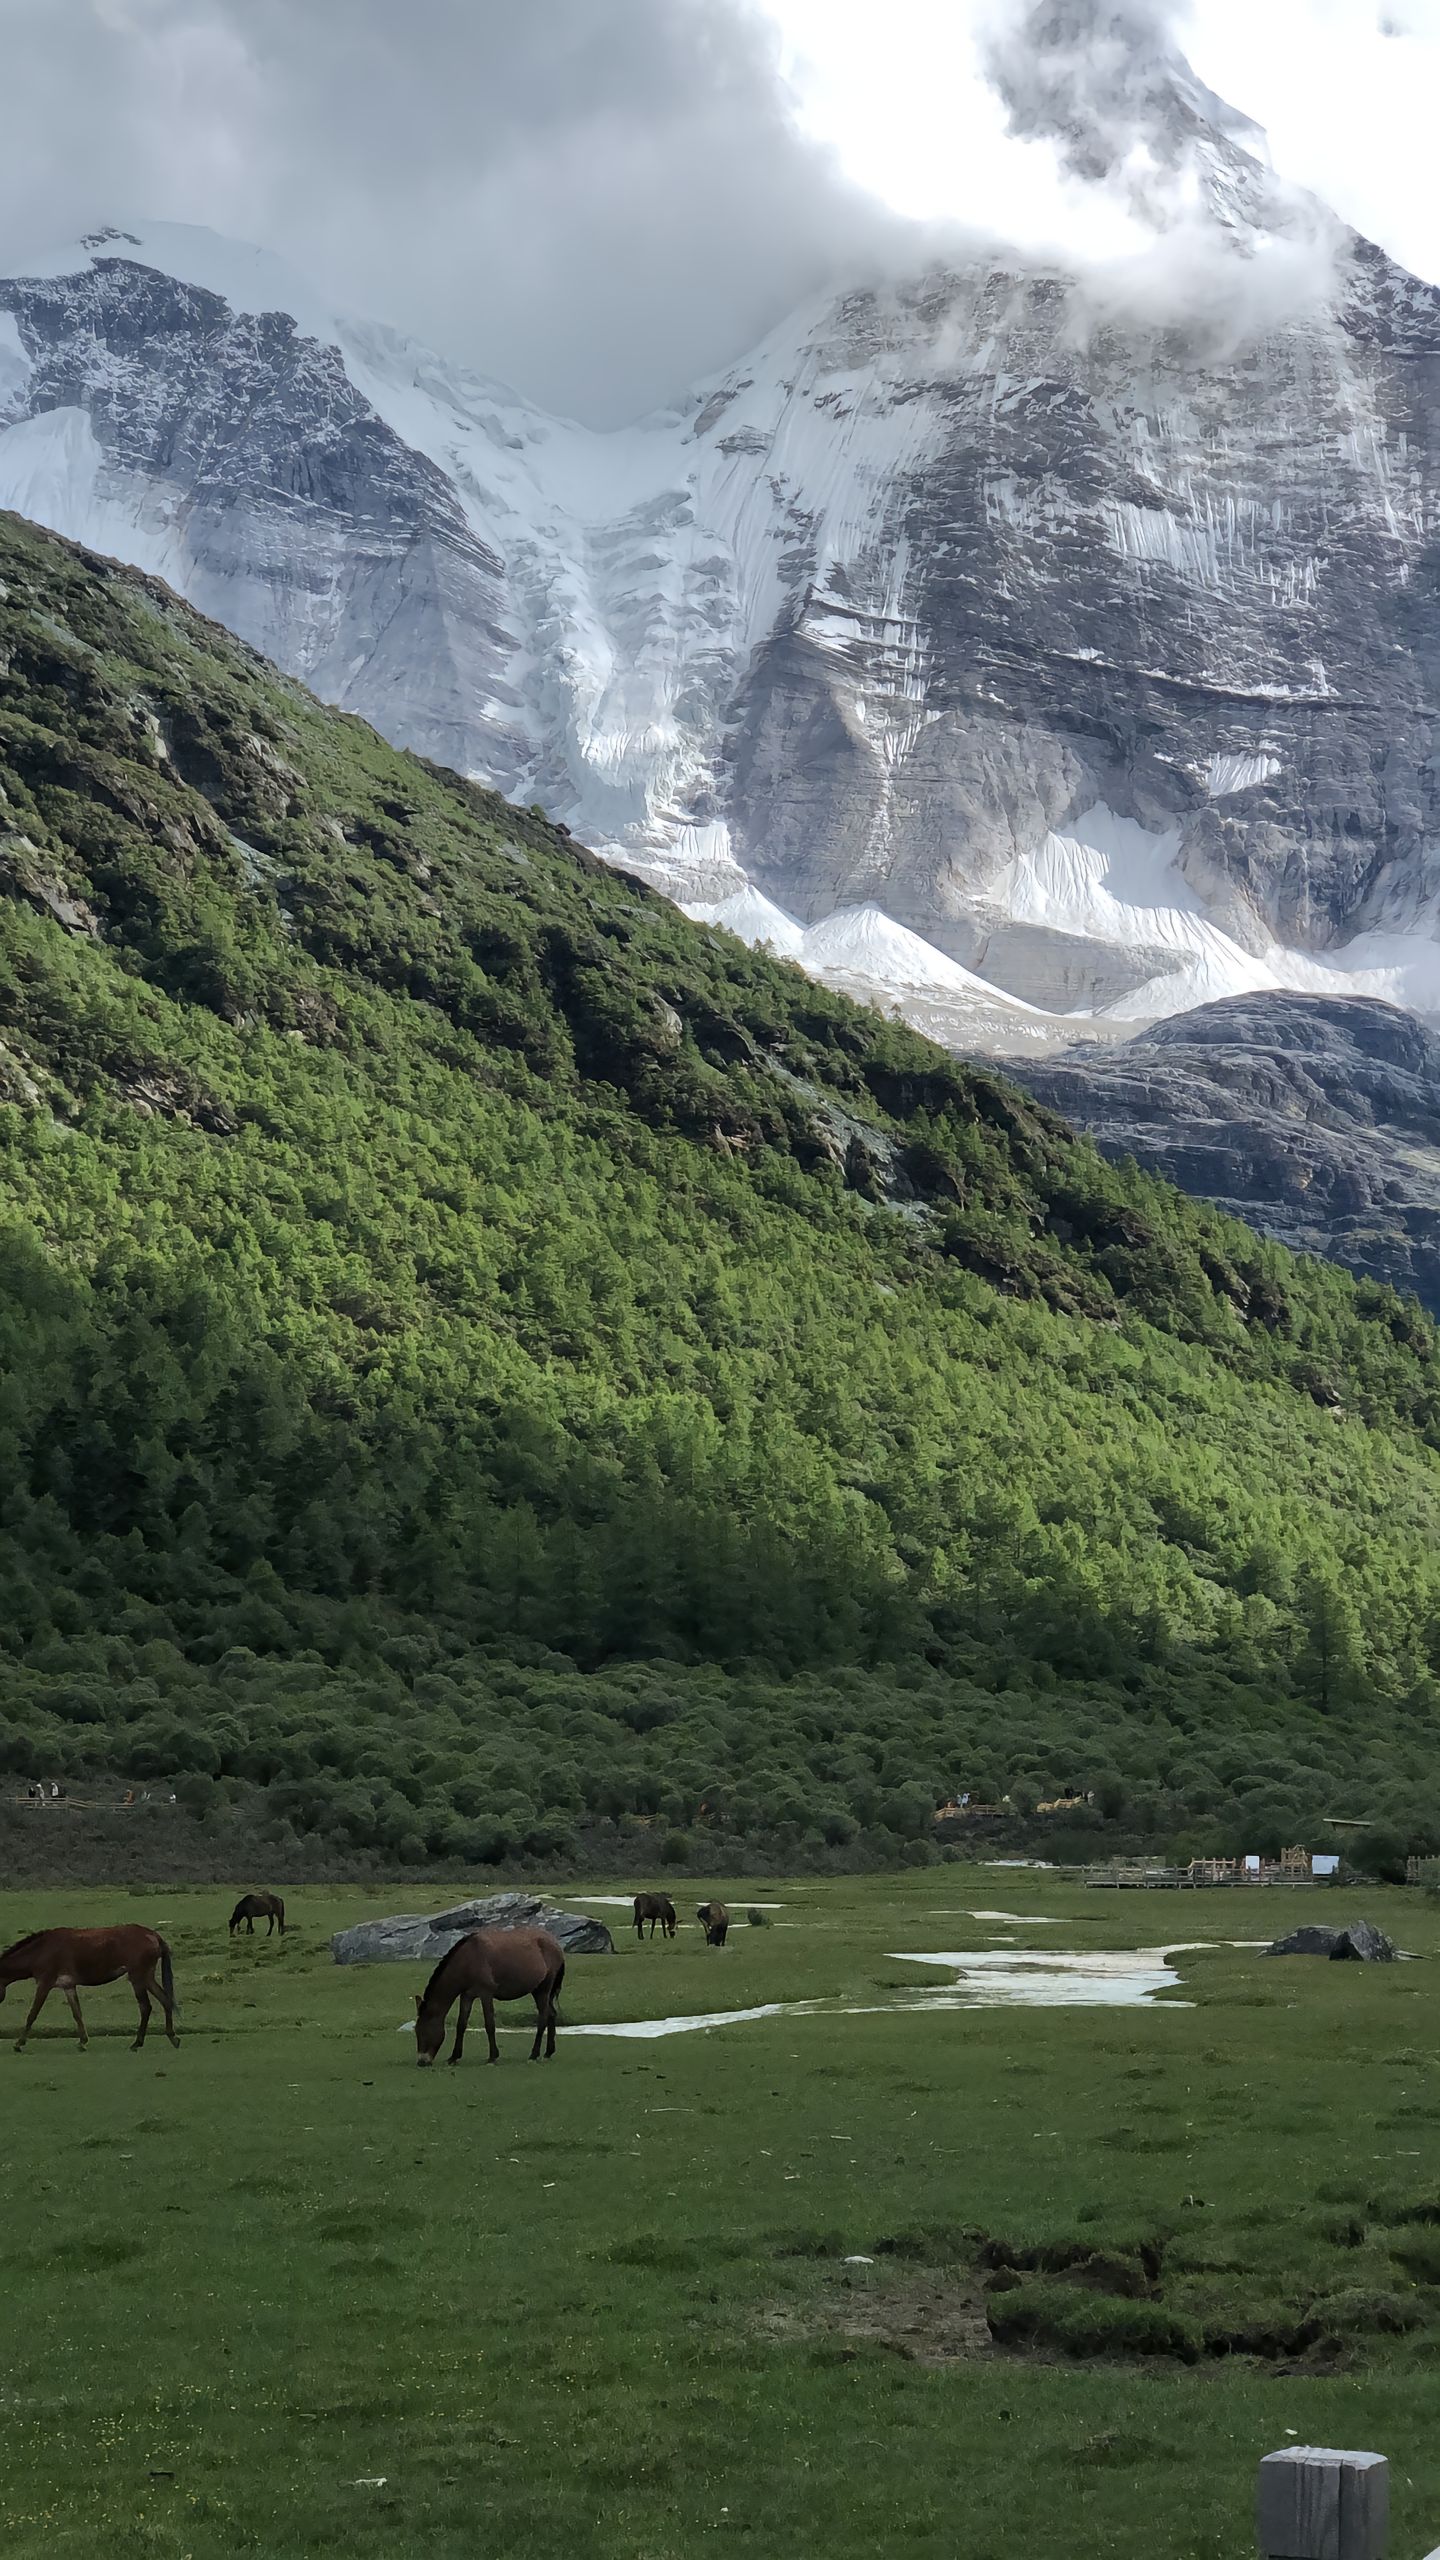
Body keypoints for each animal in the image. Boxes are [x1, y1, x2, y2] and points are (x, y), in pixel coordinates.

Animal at [0, 1925, 178, 2048]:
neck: (41, 1951)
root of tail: (153, 1935)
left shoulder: (45, 1983)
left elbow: (32, 2014)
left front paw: (18, 2044)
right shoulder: (68, 1986)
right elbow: (77, 2013)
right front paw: (82, 2042)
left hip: (138, 1977)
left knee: (145, 2007)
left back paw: (137, 2043)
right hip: (146, 1977)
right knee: (165, 2000)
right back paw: (172, 2037)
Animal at [412, 1925, 563, 2068]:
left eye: (423, 2032)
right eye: (416, 2032)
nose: (421, 2062)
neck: (468, 1960)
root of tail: (555, 1943)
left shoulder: (486, 1994)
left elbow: (489, 2024)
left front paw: (492, 2057)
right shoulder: (466, 1996)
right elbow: (461, 2025)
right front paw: (454, 2057)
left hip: (543, 1989)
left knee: (543, 2017)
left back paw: (534, 2055)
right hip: (538, 1990)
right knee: (551, 2014)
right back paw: (548, 2052)